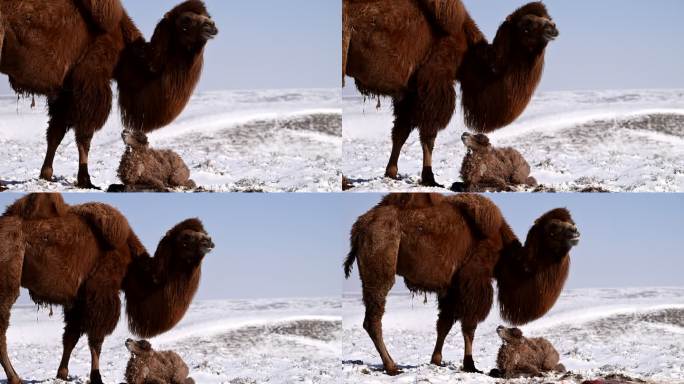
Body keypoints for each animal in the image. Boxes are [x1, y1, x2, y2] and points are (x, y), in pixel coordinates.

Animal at [0, 0, 216, 189]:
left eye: (208, 15)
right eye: (185, 20)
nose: (212, 26)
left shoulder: (65, 89)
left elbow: (55, 132)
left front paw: (46, 174)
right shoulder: (91, 77)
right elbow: (85, 135)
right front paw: (86, 180)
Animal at [0, 195, 214, 384]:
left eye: (203, 233)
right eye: (186, 237)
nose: (209, 241)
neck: (131, 264)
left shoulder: (79, 299)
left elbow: (71, 336)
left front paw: (62, 374)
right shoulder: (101, 290)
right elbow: (96, 339)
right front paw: (96, 377)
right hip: (8, 271)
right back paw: (15, 377)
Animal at [344, 0, 560, 186]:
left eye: (548, 18)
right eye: (527, 23)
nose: (553, 27)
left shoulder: (410, 91)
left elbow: (400, 132)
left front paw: (391, 173)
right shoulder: (435, 79)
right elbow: (428, 135)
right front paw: (429, 178)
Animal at [344, 194, 580, 374]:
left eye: (571, 223)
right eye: (553, 228)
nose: (576, 232)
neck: (504, 252)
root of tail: (360, 226)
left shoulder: (452, 286)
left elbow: (445, 323)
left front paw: (436, 360)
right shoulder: (475, 278)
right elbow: (469, 325)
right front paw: (470, 365)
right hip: (380, 260)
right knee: (373, 318)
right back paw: (392, 366)